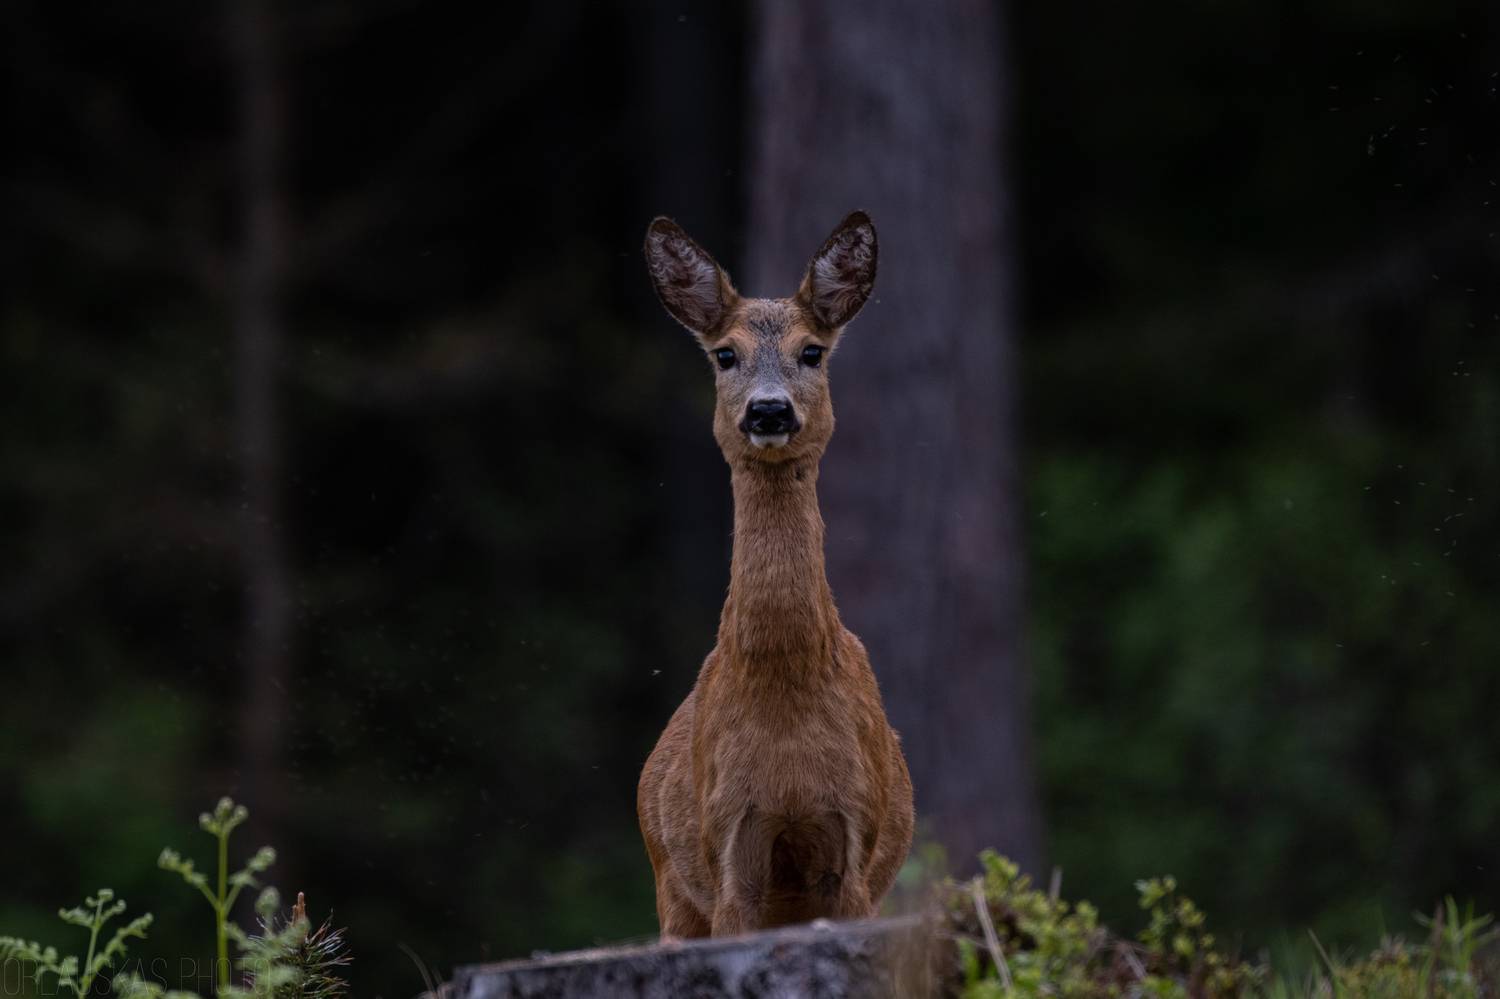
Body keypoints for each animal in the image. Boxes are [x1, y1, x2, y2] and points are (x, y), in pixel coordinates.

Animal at [637, 211, 914, 939]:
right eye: (724, 354)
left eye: (812, 351)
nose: (769, 410)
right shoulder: (729, 839)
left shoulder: (857, 834)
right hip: (670, 881)